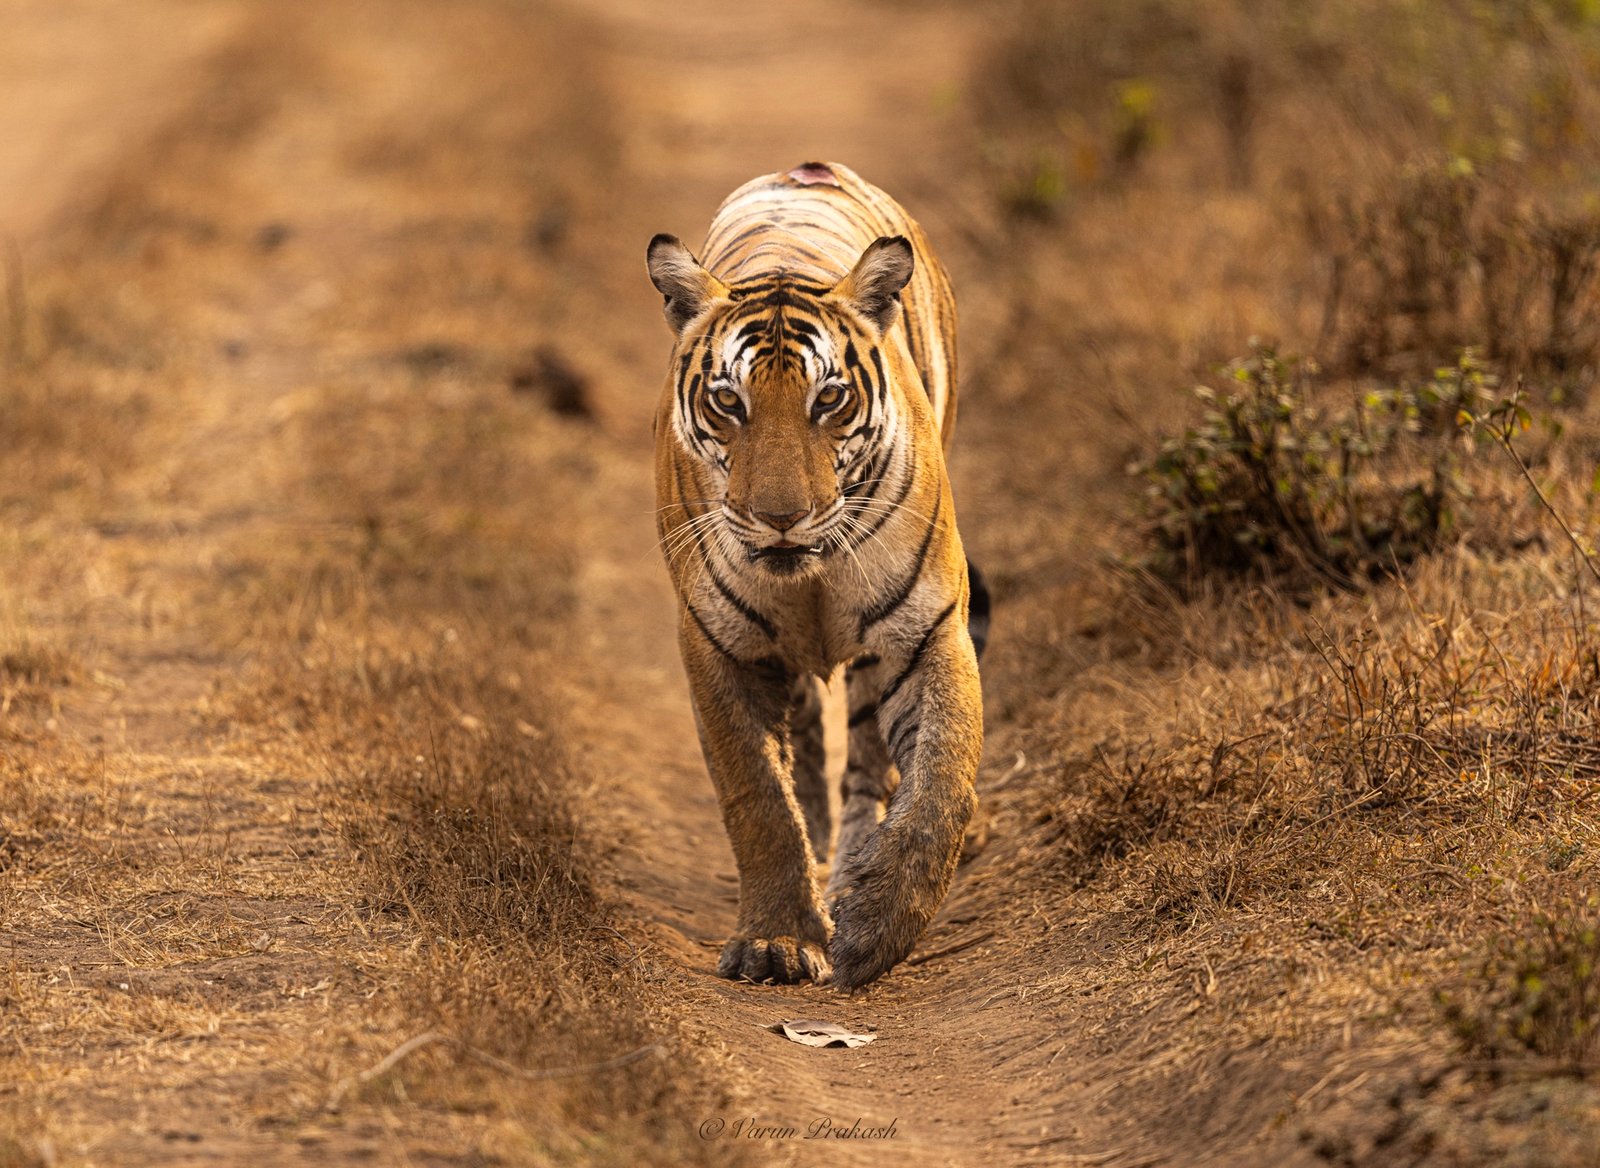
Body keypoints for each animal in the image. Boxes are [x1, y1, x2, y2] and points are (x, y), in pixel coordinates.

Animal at [647, 161, 987, 990]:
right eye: (728, 400)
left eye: (828, 398)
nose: (780, 517)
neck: (813, 573)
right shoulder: (720, 646)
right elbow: (758, 797)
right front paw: (776, 941)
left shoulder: (928, 632)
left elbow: (938, 785)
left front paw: (874, 931)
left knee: (867, 761)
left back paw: (856, 867)